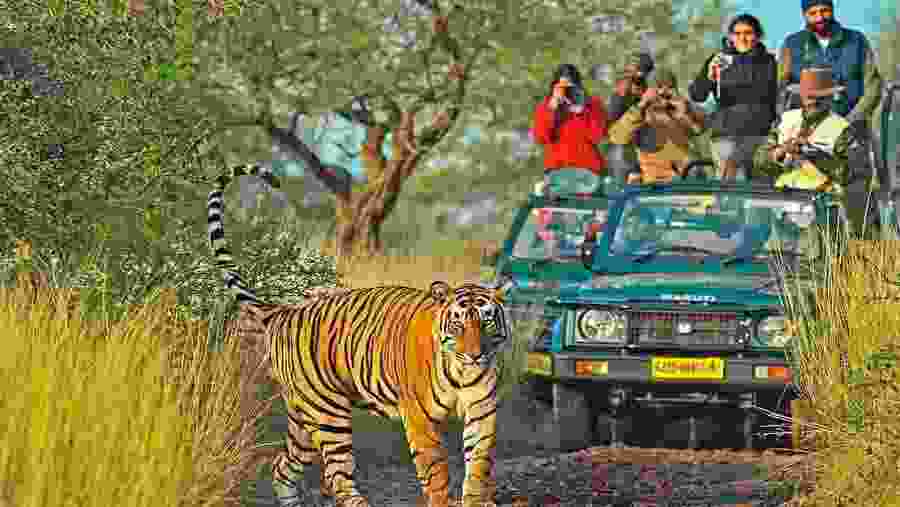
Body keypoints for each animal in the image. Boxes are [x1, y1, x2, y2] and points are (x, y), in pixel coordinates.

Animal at [207, 164, 514, 507]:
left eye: (487, 322)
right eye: (458, 324)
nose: (475, 355)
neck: (461, 371)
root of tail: (284, 312)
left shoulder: (482, 411)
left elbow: (479, 463)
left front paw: (476, 498)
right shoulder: (419, 417)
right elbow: (435, 468)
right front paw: (442, 500)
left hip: (302, 420)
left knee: (282, 466)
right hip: (328, 414)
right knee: (337, 475)